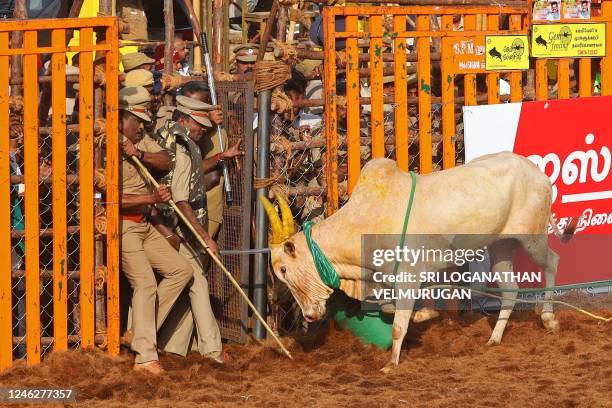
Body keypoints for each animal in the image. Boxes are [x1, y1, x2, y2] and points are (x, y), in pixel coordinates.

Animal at [262, 151, 568, 372]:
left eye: (284, 270)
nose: (309, 316)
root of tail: (537, 172)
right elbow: (391, 308)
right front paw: (426, 315)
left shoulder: (408, 277)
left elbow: (398, 326)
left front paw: (391, 364)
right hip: (501, 245)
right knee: (510, 290)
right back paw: (494, 338)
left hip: (532, 238)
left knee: (552, 262)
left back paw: (549, 319)